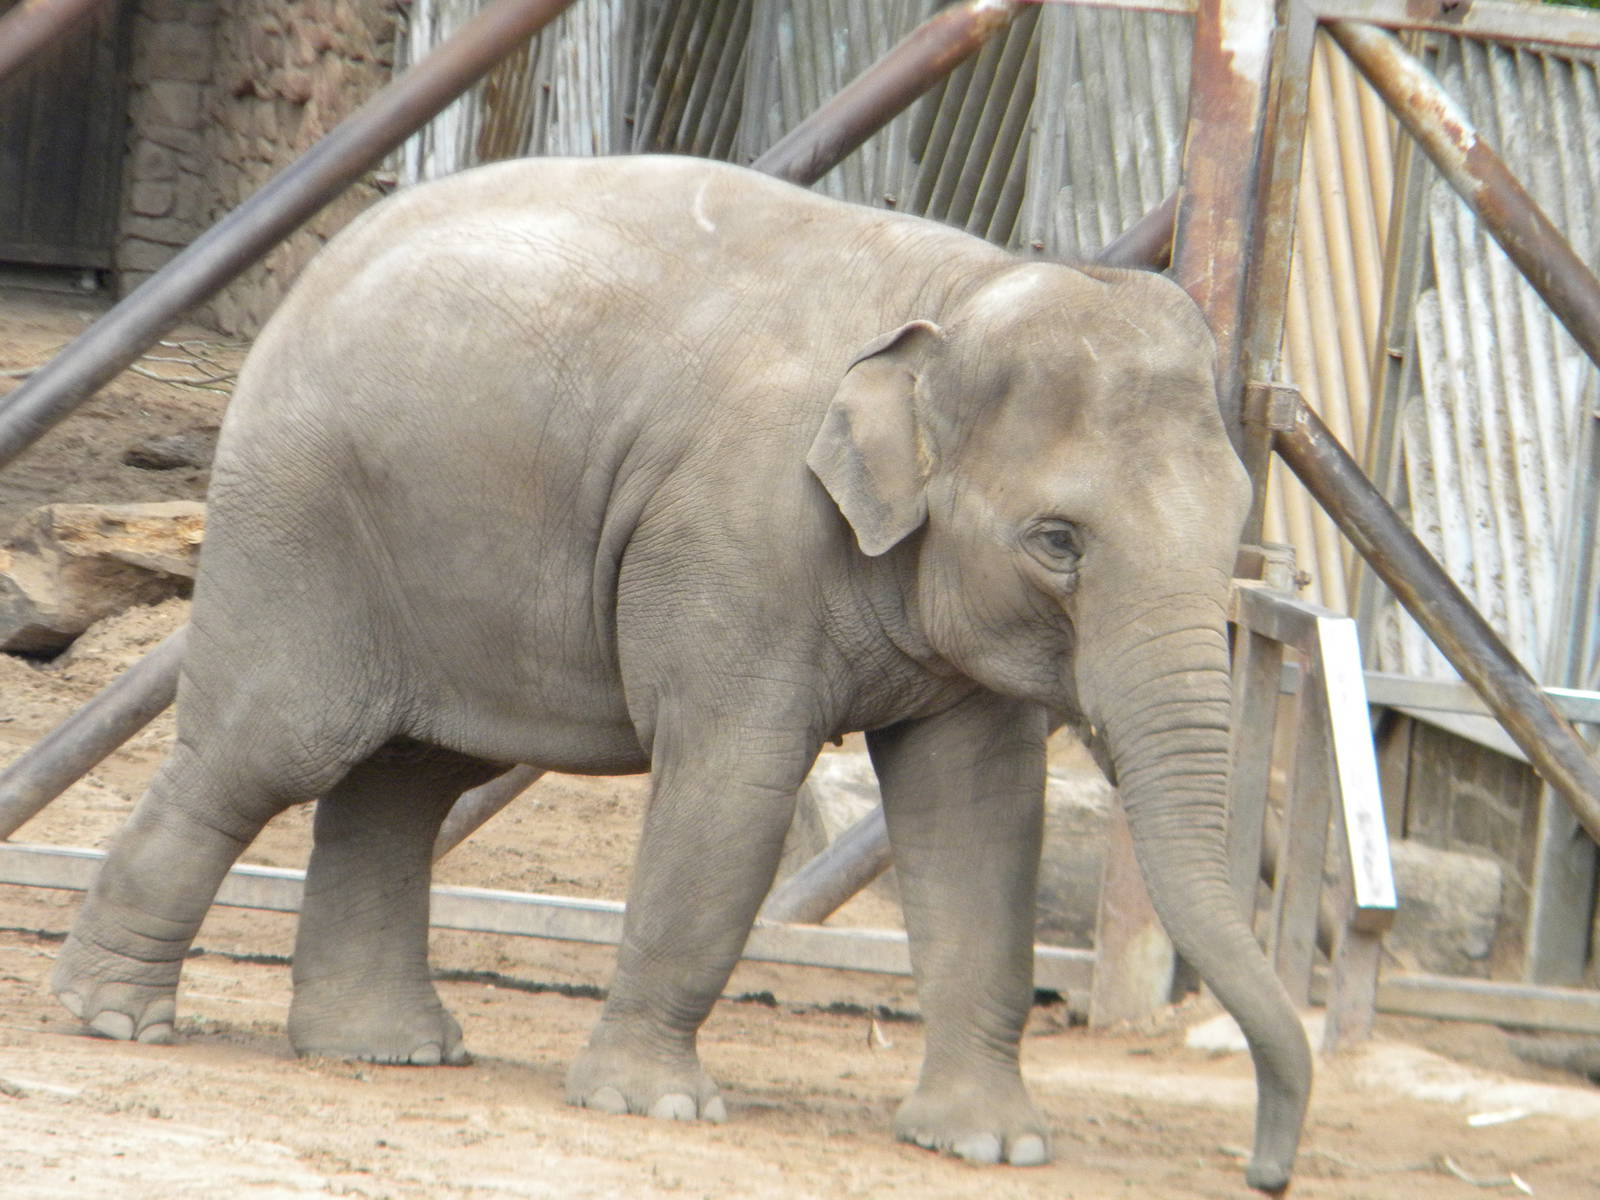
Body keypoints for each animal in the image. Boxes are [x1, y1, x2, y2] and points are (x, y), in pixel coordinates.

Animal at [50, 155, 1310, 1192]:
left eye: (1238, 524)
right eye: (1058, 541)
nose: (1265, 1172)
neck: (952, 295)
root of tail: (306, 283)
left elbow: (981, 818)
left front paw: (989, 1146)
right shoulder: (731, 536)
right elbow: (731, 791)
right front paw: (656, 1107)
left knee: (410, 778)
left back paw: (387, 1049)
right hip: (300, 519)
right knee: (268, 750)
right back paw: (114, 1019)